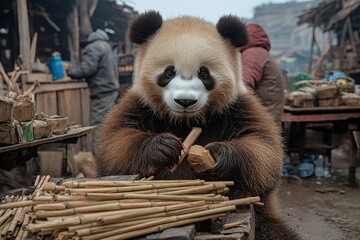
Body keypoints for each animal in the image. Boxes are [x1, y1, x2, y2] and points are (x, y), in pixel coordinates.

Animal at [96, 10, 300, 239]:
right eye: (169, 72)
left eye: (204, 73)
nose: (185, 101)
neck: (186, 120)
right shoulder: (140, 105)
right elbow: (115, 147)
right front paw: (162, 147)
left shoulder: (237, 107)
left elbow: (263, 150)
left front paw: (219, 155)